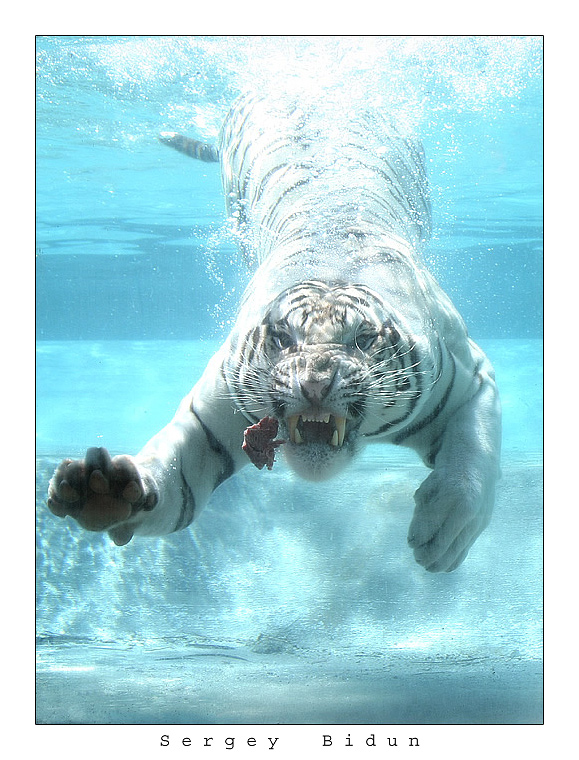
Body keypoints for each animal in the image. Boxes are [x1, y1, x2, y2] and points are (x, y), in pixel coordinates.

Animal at [48, 92, 502, 572]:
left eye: (361, 340)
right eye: (284, 339)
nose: (316, 385)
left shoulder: (471, 376)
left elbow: (474, 457)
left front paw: (445, 531)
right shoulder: (211, 415)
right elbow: (173, 473)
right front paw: (105, 491)